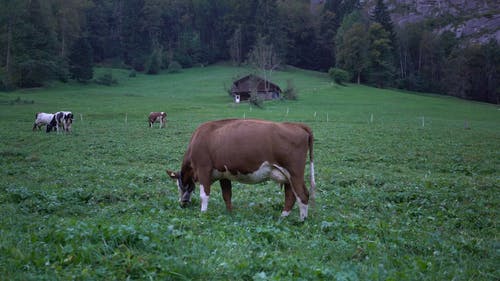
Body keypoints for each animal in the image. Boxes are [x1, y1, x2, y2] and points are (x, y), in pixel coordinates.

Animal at [168, 117, 316, 220]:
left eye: (178, 186)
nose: (182, 203)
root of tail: (296, 125)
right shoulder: (224, 175)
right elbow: (227, 195)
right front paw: (230, 213)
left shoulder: (203, 169)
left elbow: (204, 195)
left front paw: (203, 213)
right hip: (287, 176)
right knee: (291, 196)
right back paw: (283, 217)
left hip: (295, 173)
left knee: (303, 195)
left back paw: (302, 220)